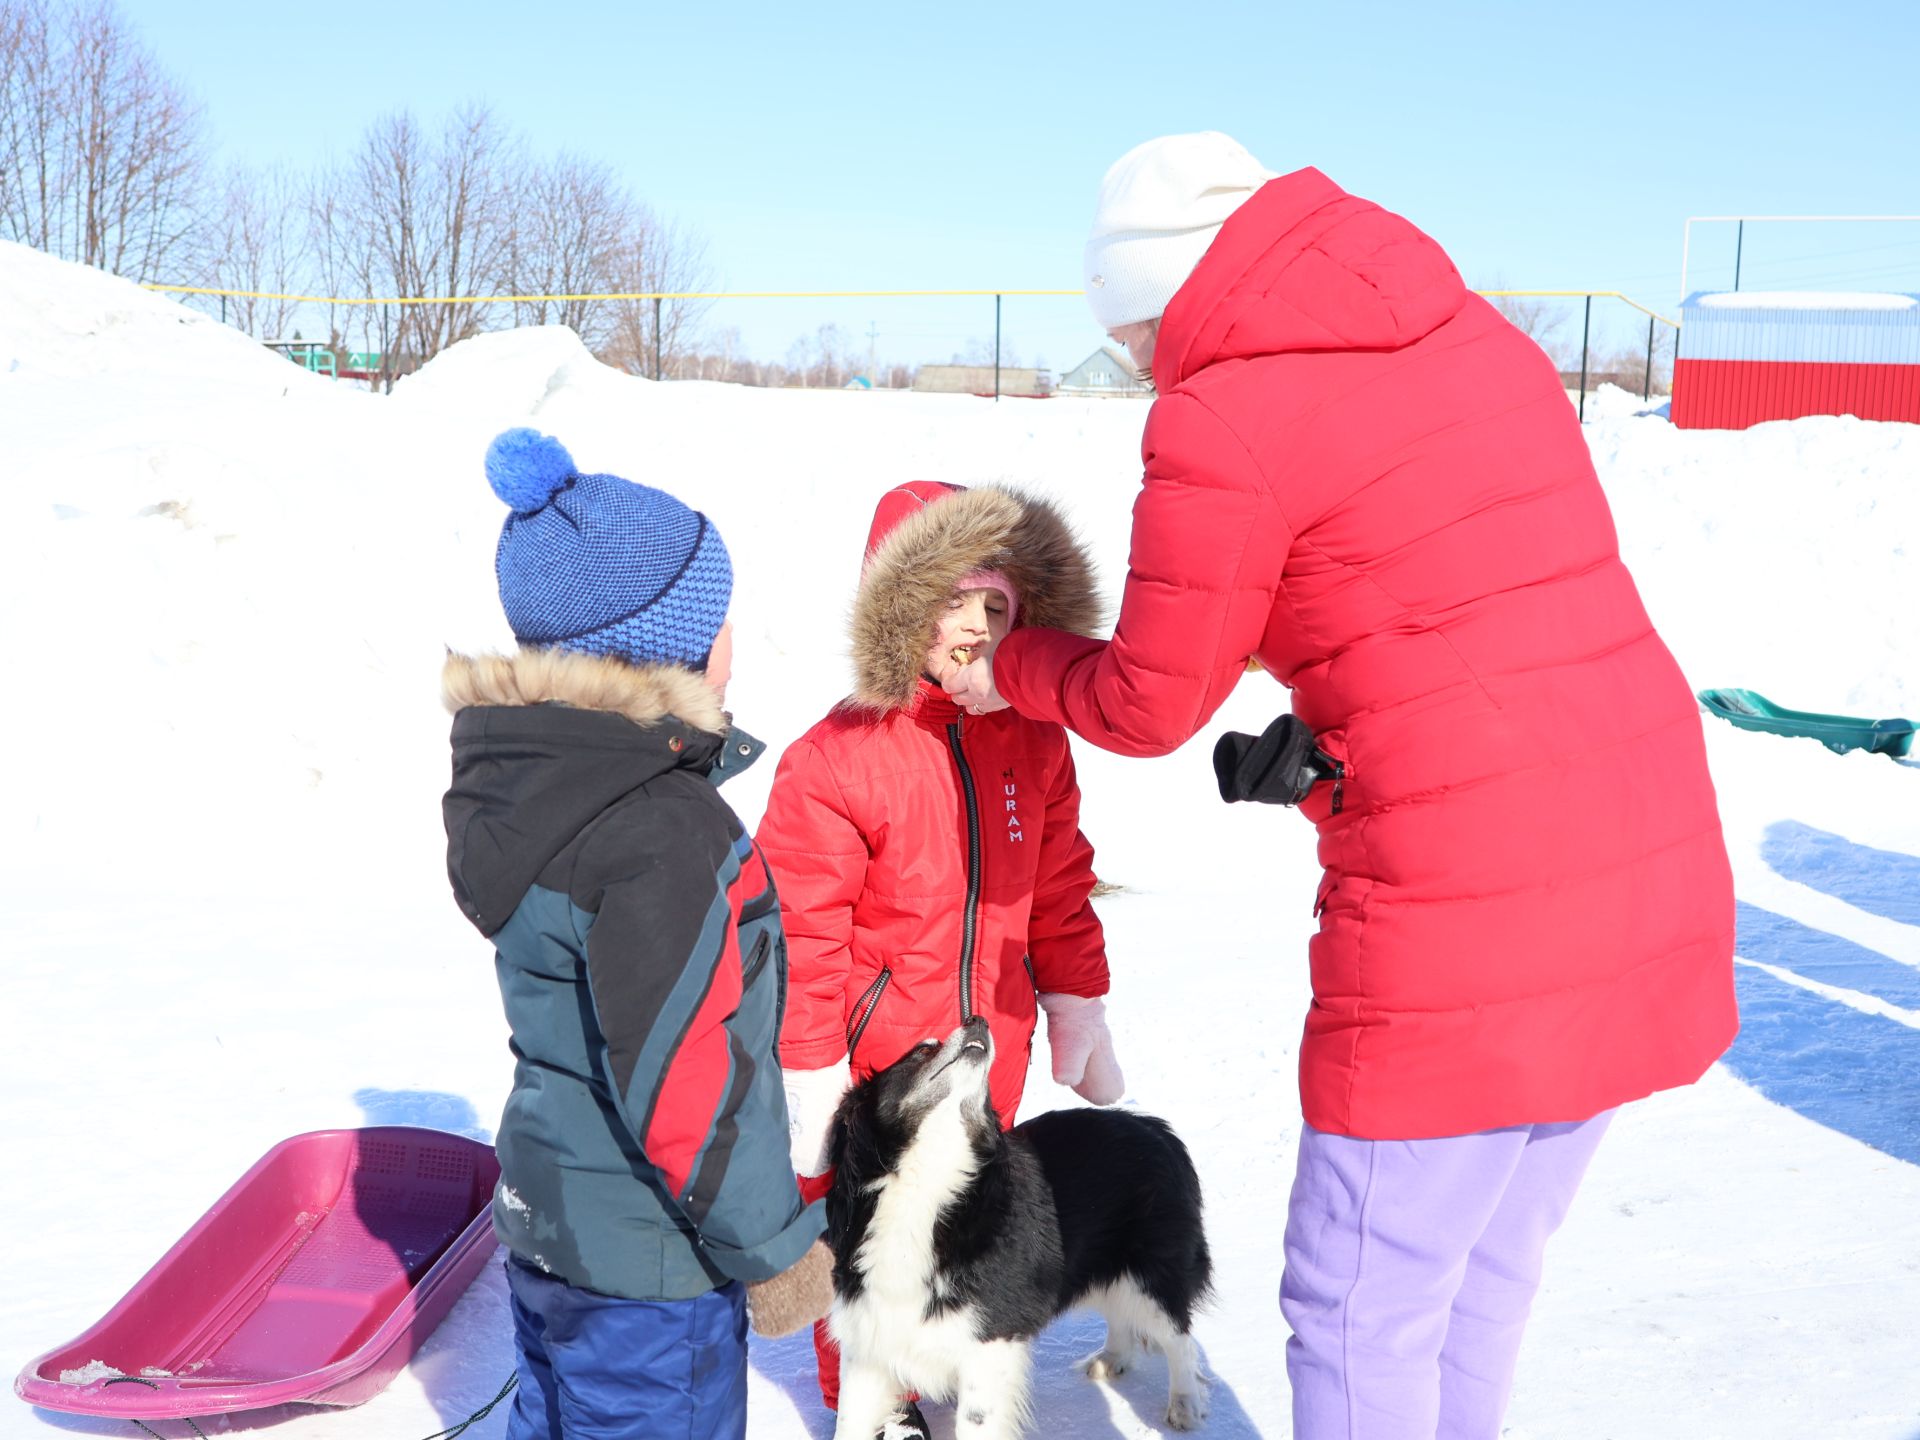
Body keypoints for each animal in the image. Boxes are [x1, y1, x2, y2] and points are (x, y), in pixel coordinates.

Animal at [825, 1013, 1213, 1440]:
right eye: (923, 1049)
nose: (977, 1019)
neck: (927, 1186)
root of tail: (1157, 1129)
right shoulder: (868, 1336)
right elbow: (849, 1422)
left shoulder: (988, 1339)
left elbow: (975, 1425)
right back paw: (1112, 1360)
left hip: (1152, 1273)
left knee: (1179, 1337)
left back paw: (1184, 1405)